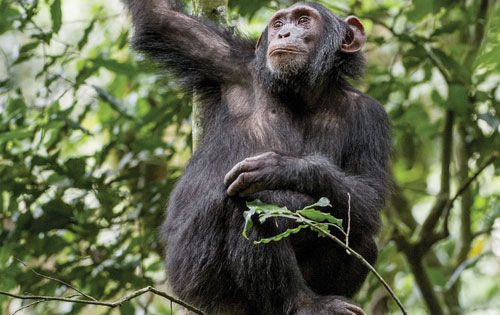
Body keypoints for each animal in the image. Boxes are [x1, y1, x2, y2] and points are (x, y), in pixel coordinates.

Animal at [128, 0, 390, 315]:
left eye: (303, 20)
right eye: (278, 24)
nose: (285, 33)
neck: (302, 94)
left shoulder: (372, 115)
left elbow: (368, 194)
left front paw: (280, 167)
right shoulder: (229, 61)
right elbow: (160, 18)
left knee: (362, 238)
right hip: (194, 278)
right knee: (243, 204)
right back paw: (305, 304)